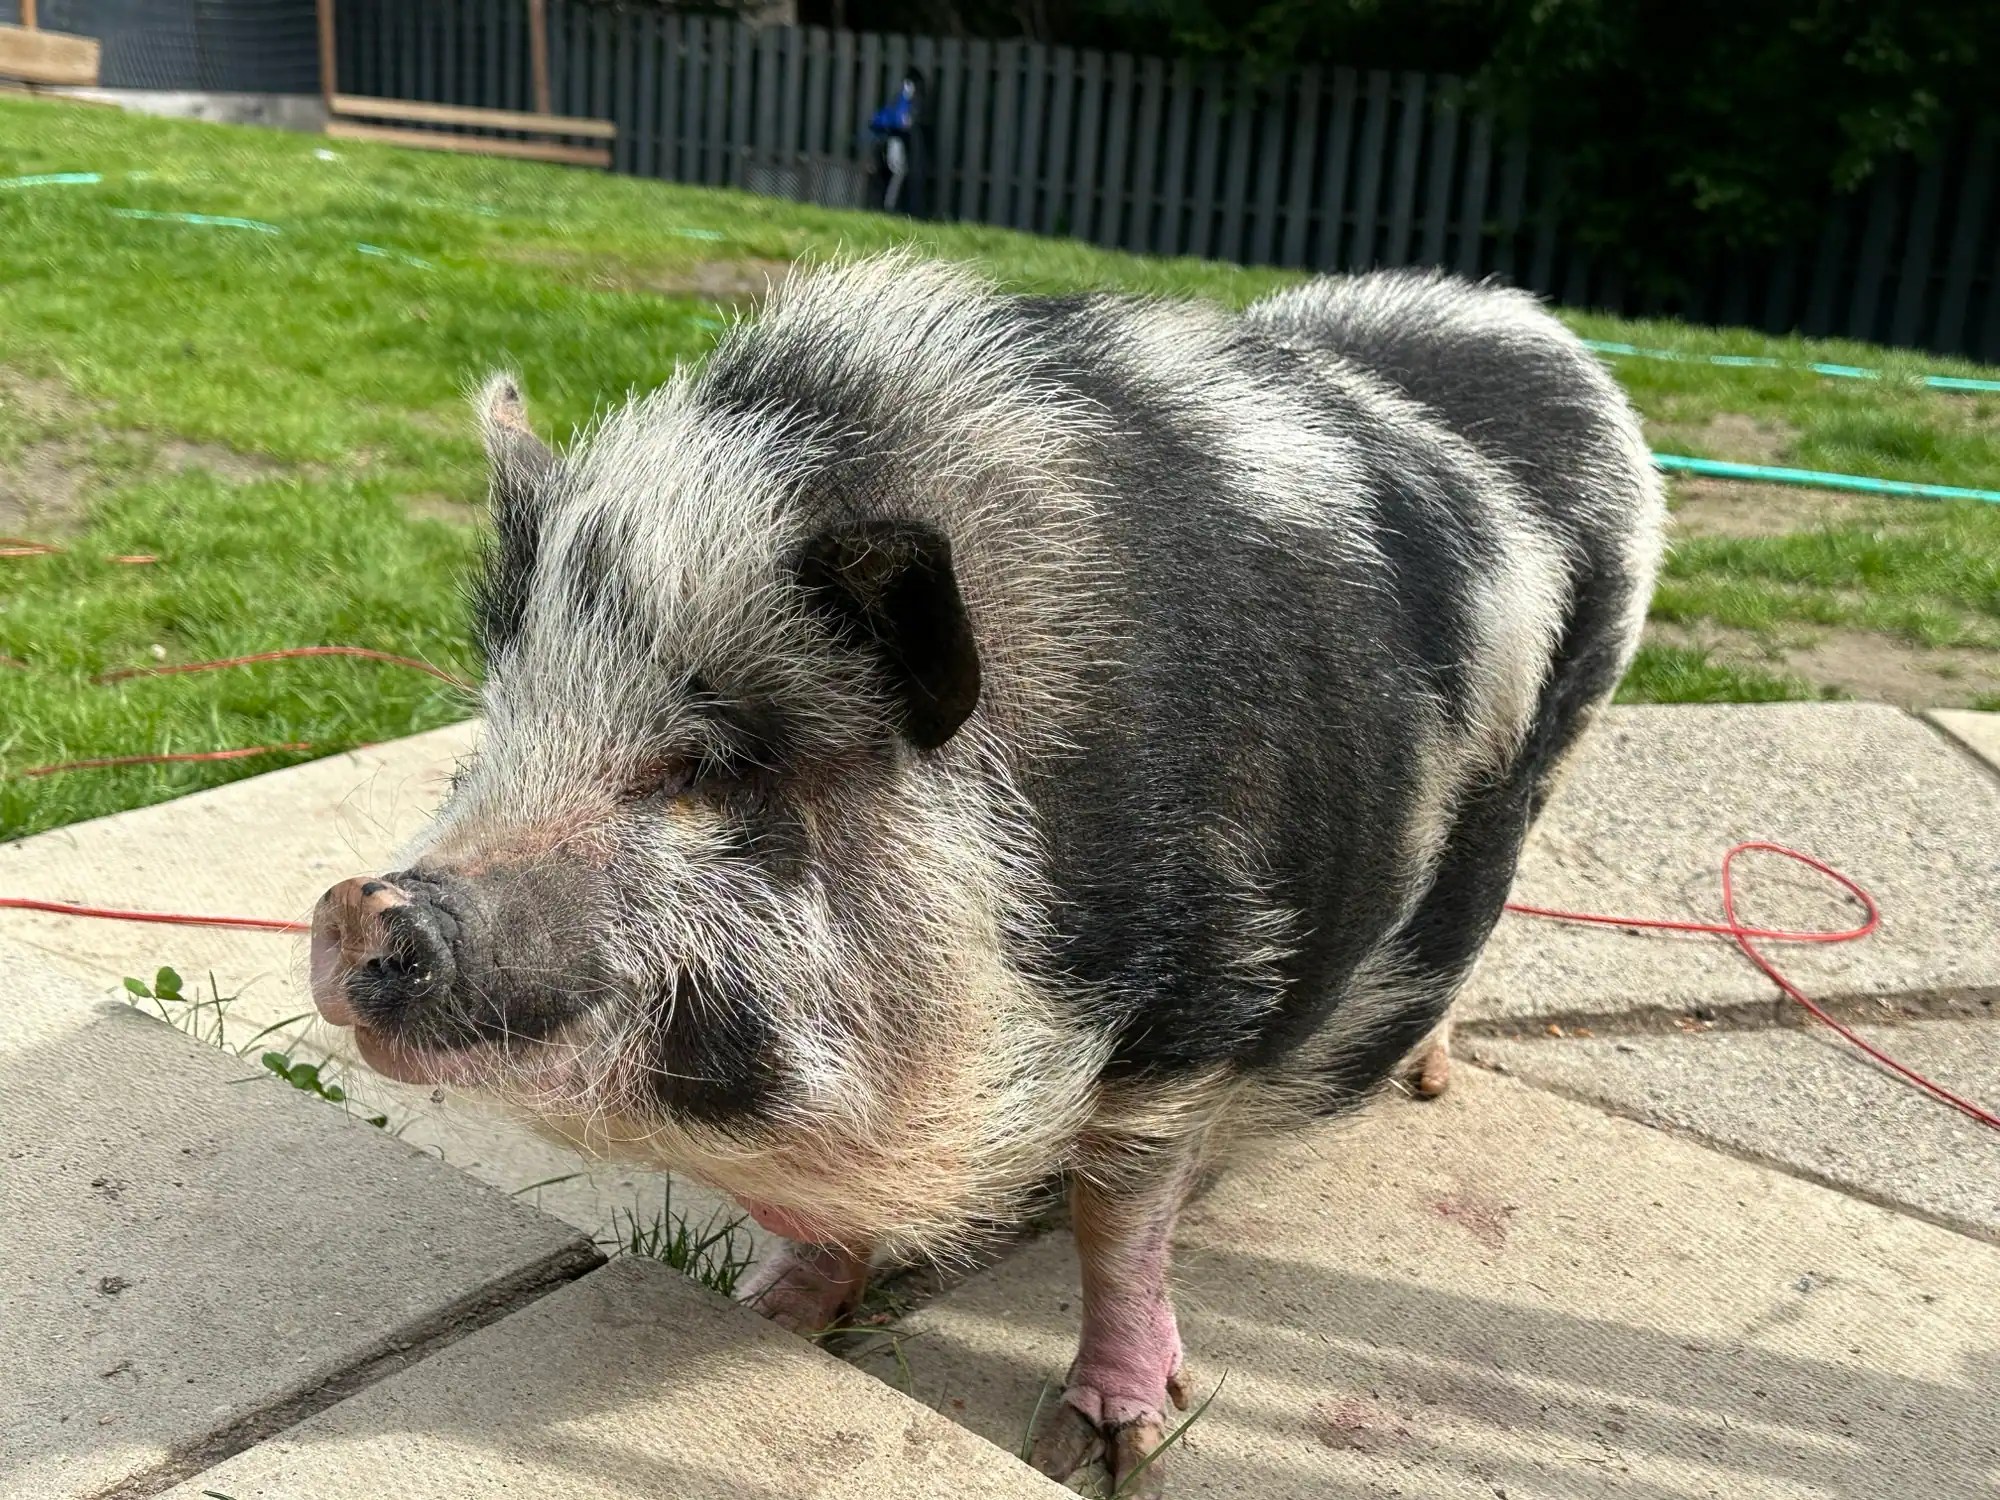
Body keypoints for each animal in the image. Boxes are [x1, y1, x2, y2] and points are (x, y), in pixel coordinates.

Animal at [309, 256, 1662, 1494]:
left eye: (707, 767)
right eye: (491, 738)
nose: (359, 903)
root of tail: (1512, 316)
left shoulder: (1199, 1009)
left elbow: (1117, 1223)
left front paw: (1102, 1447)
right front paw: (768, 1316)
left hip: (1572, 729)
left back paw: (1426, 1082)